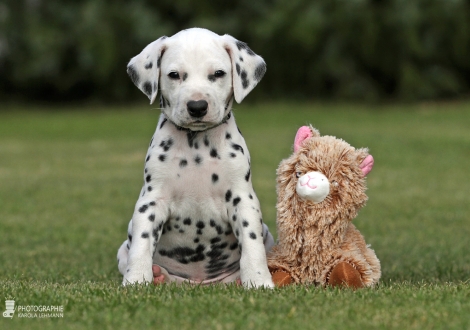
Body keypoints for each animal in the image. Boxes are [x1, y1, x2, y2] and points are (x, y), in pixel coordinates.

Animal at [115, 28, 274, 288]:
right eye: (174, 75)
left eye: (218, 74)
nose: (197, 106)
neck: (197, 143)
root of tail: (199, 284)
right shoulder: (152, 201)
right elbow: (142, 243)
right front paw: (136, 280)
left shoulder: (242, 199)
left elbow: (252, 245)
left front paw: (259, 281)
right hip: (122, 251)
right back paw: (158, 275)